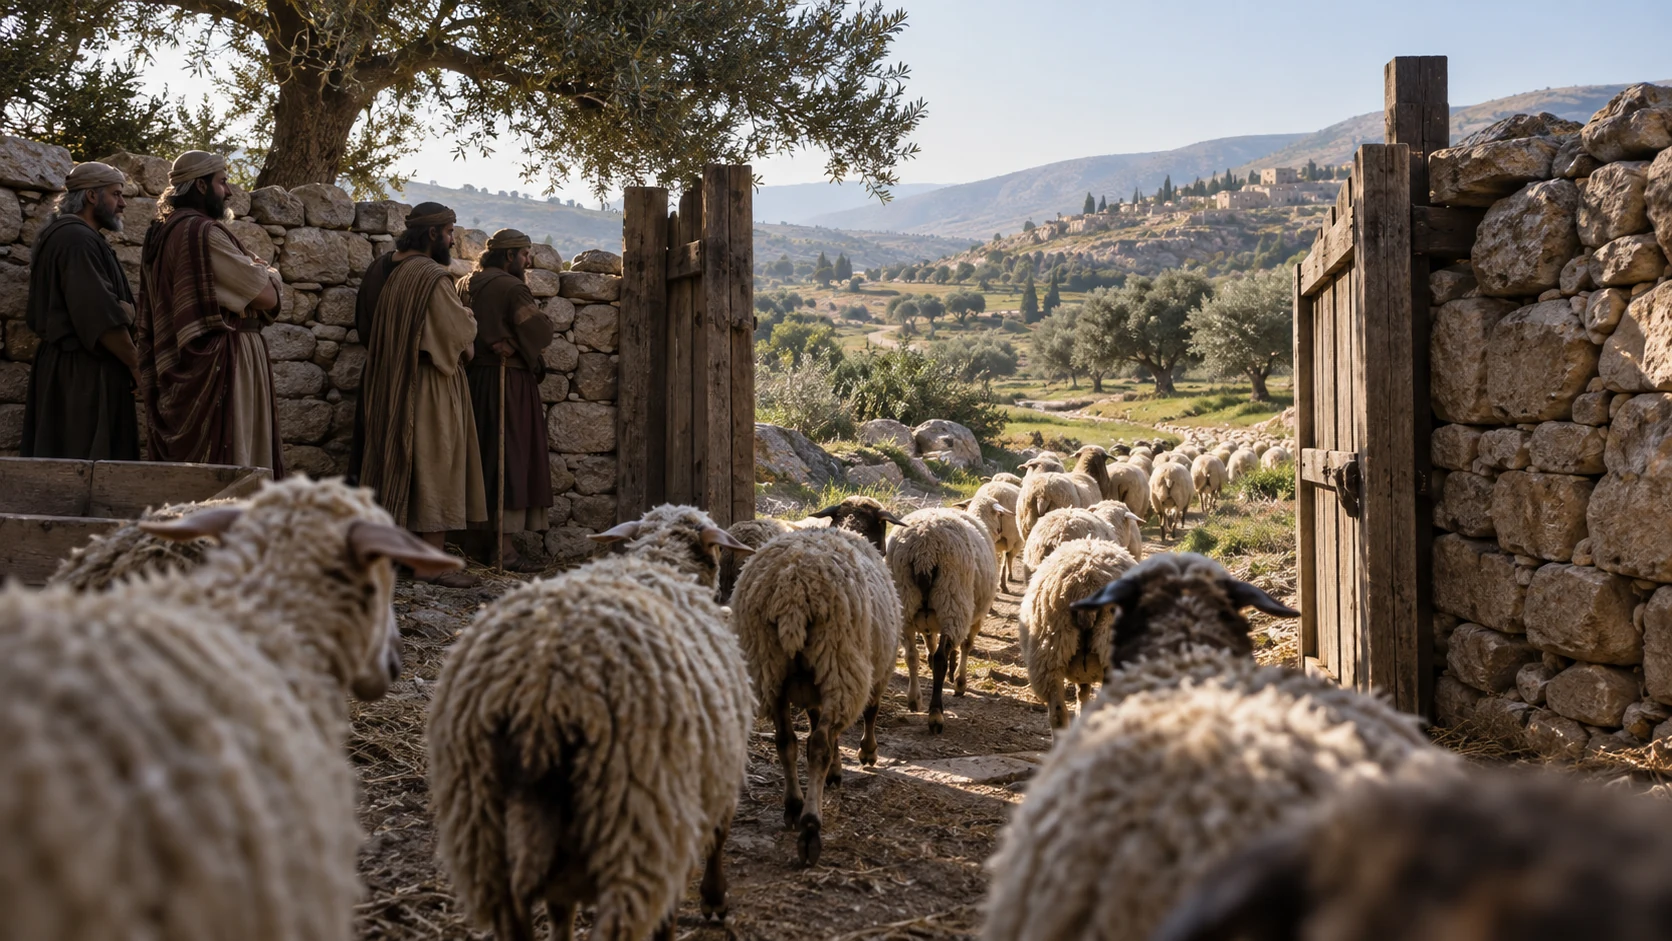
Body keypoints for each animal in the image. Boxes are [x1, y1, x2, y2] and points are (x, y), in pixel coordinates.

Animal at [427, 504, 756, 941]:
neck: (659, 562)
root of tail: (543, 690)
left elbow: (560, 911)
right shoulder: (718, 770)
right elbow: (719, 837)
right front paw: (715, 900)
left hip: (480, 827)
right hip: (639, 823)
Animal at [730, 508, 903, 866]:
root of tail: (793, 589)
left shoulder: (811, 689)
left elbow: (812, 721)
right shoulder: (875, 671)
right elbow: (869, 713)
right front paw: (865, 754)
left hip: (767, 668)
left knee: (786, 741)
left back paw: (794, 806)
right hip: (839, 663)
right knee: (818, 744)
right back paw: (810, 827)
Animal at [887, 507, 999, 734]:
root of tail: (924, 549)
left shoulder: (927, 621)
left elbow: (930, 644)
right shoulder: (975, 617)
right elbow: (965, 646)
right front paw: (960, 683)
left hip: (905, 599)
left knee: (911, 655)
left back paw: (914, 700)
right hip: (952, 599)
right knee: (941, 660)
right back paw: (935, 715)